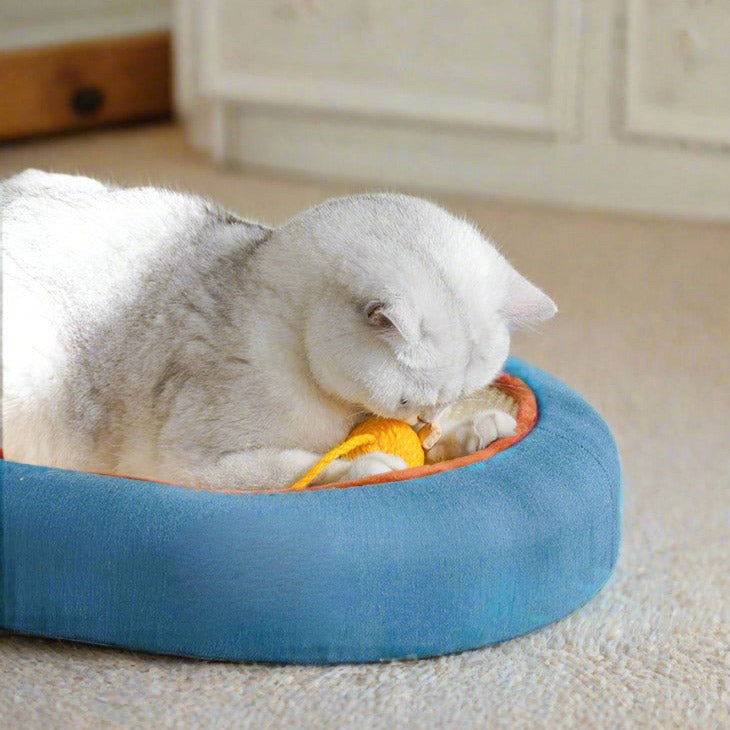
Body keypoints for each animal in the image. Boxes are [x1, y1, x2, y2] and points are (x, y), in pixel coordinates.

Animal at [1, 171, 552, 490]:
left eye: (456, 397)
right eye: (406, 402)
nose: (426, 421)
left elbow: (439, 450)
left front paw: (474, 431)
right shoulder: (192, 464)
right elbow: (302, 467)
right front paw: (372, 465)